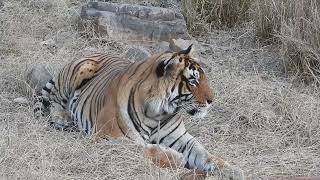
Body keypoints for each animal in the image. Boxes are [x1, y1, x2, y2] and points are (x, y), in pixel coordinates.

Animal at [33, 44, 244, 179]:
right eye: (192, 81)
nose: (212, 101)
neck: (158, 112)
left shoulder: (182, 138)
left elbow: (204, 153)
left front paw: (232, 169)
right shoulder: (106, 136)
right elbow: (144, 149)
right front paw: (176, 157)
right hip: (79, 71)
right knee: (56, 99)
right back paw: (62, 118)